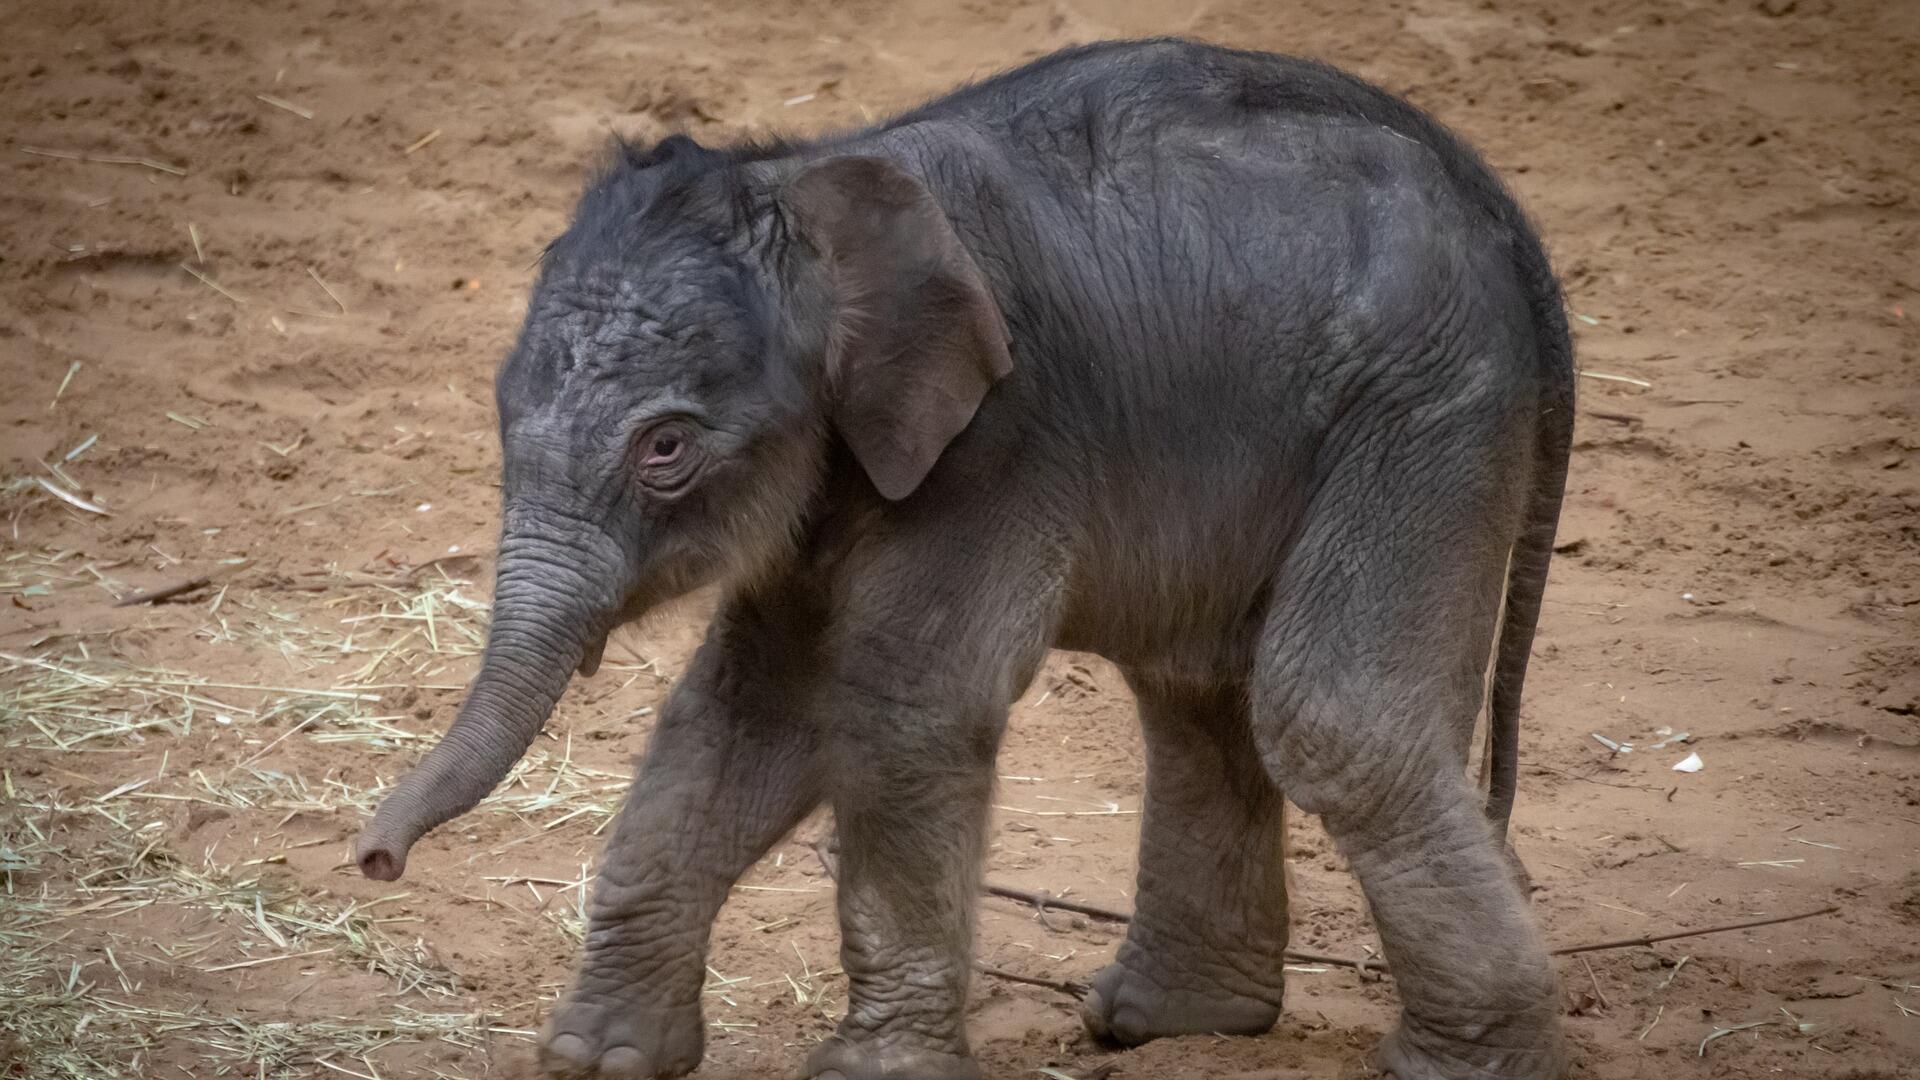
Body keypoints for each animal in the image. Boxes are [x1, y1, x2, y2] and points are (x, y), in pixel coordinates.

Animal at [354, 37, 1574, 1080]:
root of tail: (1503, 210)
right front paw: (596, 1058)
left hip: (1425, 404)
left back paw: (1457, 1063)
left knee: (1331, 717)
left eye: (666, 448)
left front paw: (867, 1071)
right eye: (501, 408)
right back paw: (1168, 1023)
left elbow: (905, 707)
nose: (373, 860)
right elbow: (747, 709)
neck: (813, 177)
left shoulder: (1003, 437)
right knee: (1197, 688)